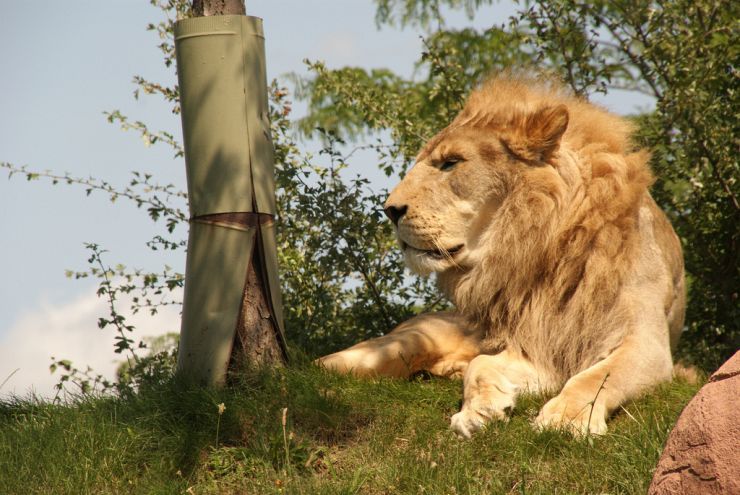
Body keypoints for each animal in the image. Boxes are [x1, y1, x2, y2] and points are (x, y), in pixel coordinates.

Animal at [316, 75, 684, 436]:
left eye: (451, 163)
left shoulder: (644, 344)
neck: (547, 248)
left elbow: (595, 377)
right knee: (325, 364)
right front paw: (478, 411)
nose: (390, 210)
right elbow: (481, 364)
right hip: (405, 341)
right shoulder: (537, 347)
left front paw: (563, 419)